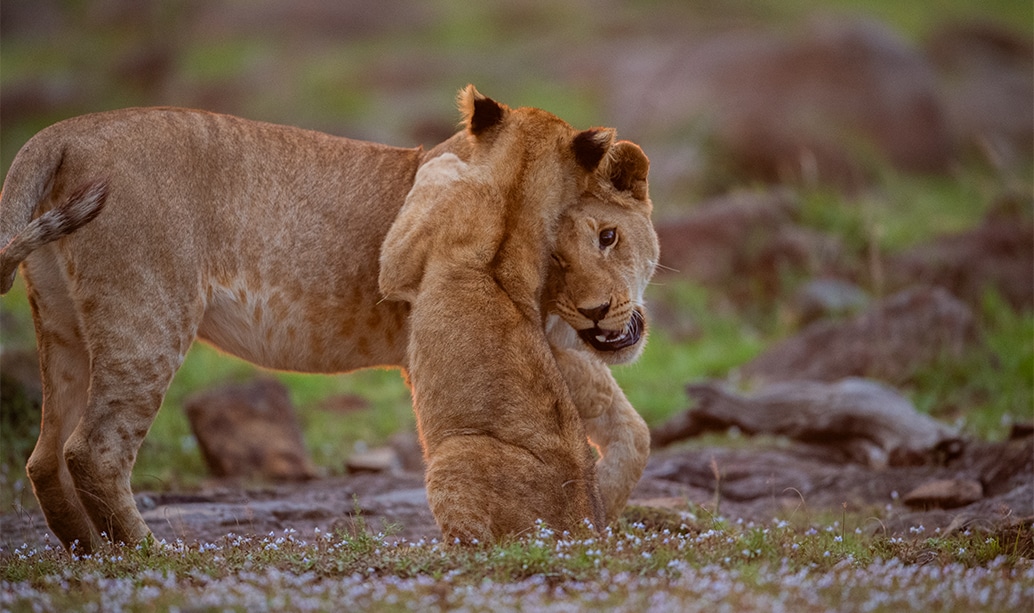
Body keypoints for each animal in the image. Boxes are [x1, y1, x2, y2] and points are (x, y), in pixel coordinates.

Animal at [0, 87, 656, 551]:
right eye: (560, 255)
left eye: (608, 237)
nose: (597, 310)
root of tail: (60, 133)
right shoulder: (540, 329)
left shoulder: (555, 339)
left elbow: (630, 429)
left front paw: (594, 511)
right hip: (148, 319)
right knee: (95, 449)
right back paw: (147, 555)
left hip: (63, 325)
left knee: (44, 456)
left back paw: (90, 553)